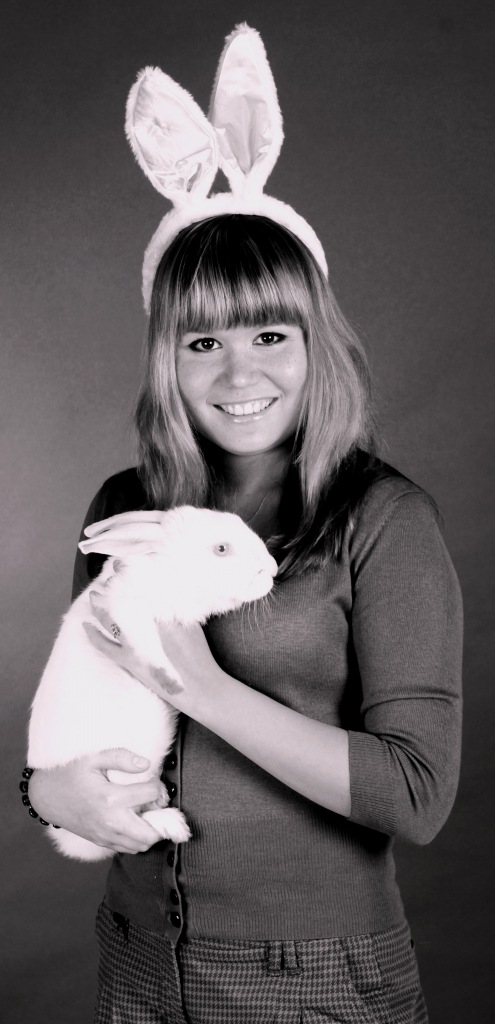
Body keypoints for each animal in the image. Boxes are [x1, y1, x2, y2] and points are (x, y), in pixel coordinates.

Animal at [27, 505, 278, 862]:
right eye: (221, 549)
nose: (272, 568)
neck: (165, 573)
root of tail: (72, 843)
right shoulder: (129, 612)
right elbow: (147, 645)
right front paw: (170, 679)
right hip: (122, 779)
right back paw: (173, 822)